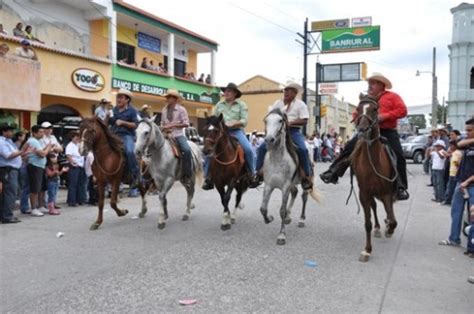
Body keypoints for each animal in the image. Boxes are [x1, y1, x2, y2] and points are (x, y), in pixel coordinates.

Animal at [260, 108, 322, 245]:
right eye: (266, 120)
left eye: (280, 120)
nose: (269, 139)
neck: (277, 160)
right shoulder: (268, 185)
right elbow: (263, 208)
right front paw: (269, 218)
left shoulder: (285, 187)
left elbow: (282, 210)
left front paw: (281, 235)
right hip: (293, 184)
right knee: (295, 193)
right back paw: (289, 217)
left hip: (306, 181)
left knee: (304, 197)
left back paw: (301, 220)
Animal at [350, 95, 398, 262]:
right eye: (358, 109)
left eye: (375, 109)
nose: (362, 130)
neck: (373, 163)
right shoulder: (364, 193)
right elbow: (368, 223)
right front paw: (367, 250)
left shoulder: (387, 192)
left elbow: (393, 220)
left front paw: (389, 229)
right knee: (374, 207)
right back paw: (378, 228)